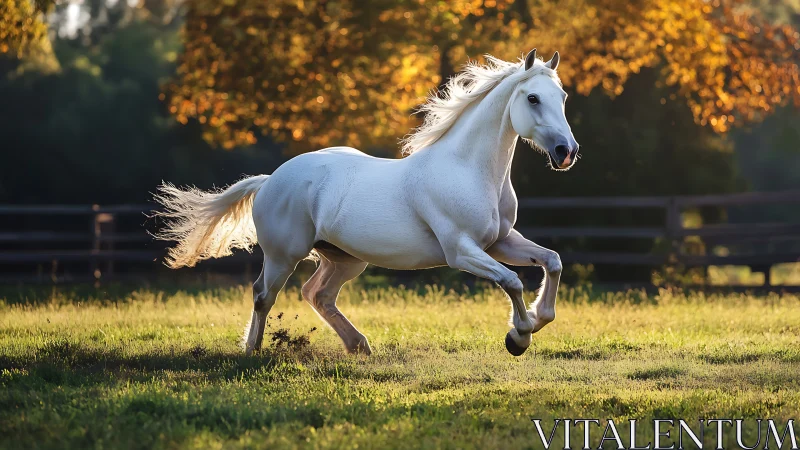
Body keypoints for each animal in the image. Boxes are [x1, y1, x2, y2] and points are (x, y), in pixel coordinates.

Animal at [154, 49, 580, 357]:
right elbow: (512, 281)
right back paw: (253, 351)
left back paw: (358, 345)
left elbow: (553, 261)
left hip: (344, 258)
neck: (467, 169)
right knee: (263, 294)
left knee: (317, 294)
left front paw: (536, 319)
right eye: (532, 98)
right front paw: (519, 337)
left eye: (562, 97)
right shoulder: (462, 251)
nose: (567, 152)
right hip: (283, 255)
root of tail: (271, 179)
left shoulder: (500, 241)